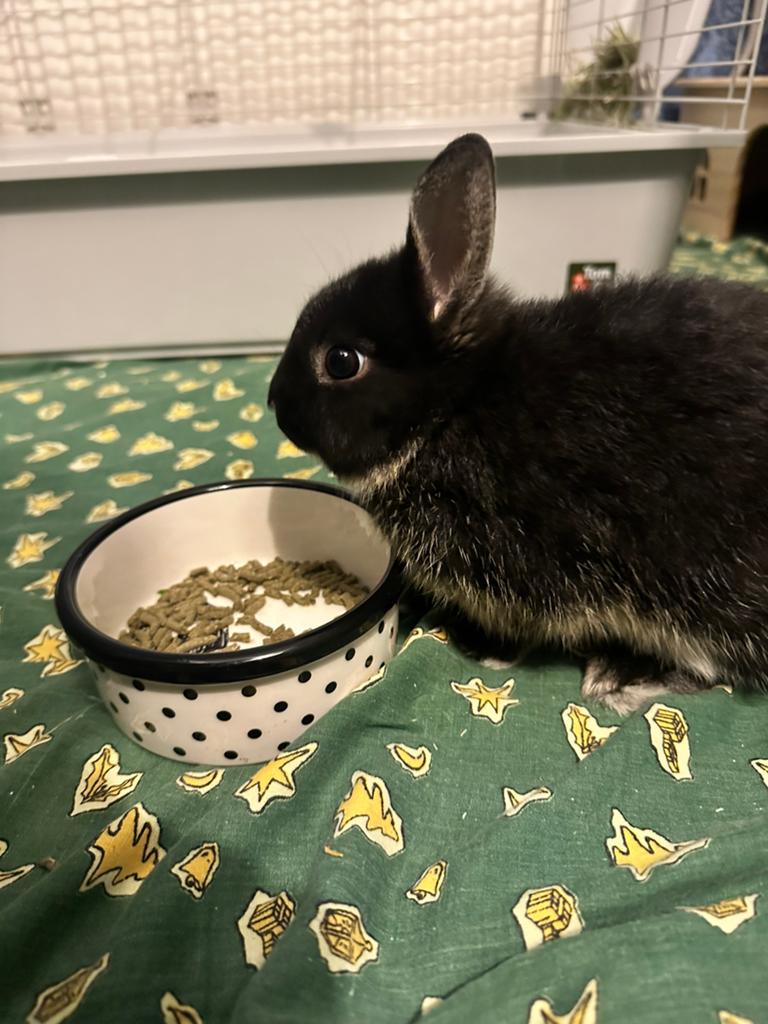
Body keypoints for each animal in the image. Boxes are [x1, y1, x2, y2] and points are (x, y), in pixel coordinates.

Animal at [268, 132, 768, 714]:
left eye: (342, 361)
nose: (274, 402)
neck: (452, 410)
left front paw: (484, 650)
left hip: (699, 589)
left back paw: (618, 677)